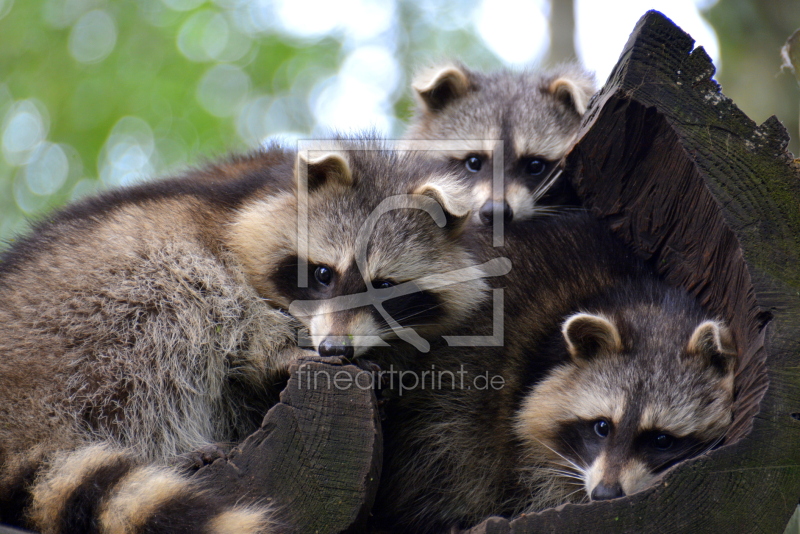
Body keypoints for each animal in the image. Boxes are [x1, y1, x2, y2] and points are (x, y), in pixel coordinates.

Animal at [0, 140, 488, 532]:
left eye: (384, 286)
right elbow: (237, 313)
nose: (333, 347)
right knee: (169, 302)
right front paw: (285, 351)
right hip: (85, 308)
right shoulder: (224, 226)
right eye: (323, 274)